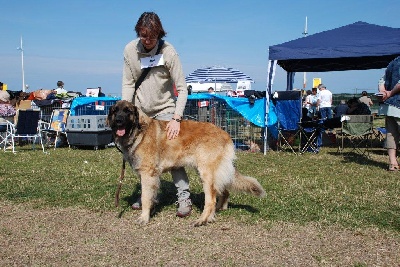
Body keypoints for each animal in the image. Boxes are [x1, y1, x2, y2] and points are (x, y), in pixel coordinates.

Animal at [108, 101, 268, 227]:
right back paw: (216, 212)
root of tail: (225, 134)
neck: (139, 132)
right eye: (115, 111)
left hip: (206, 173)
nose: (119, 120)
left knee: (211, 199)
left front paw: (144, 217)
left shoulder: (148, 174)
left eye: (127, 111)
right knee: (222, 191)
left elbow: (146, 197)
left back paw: (202, 220)